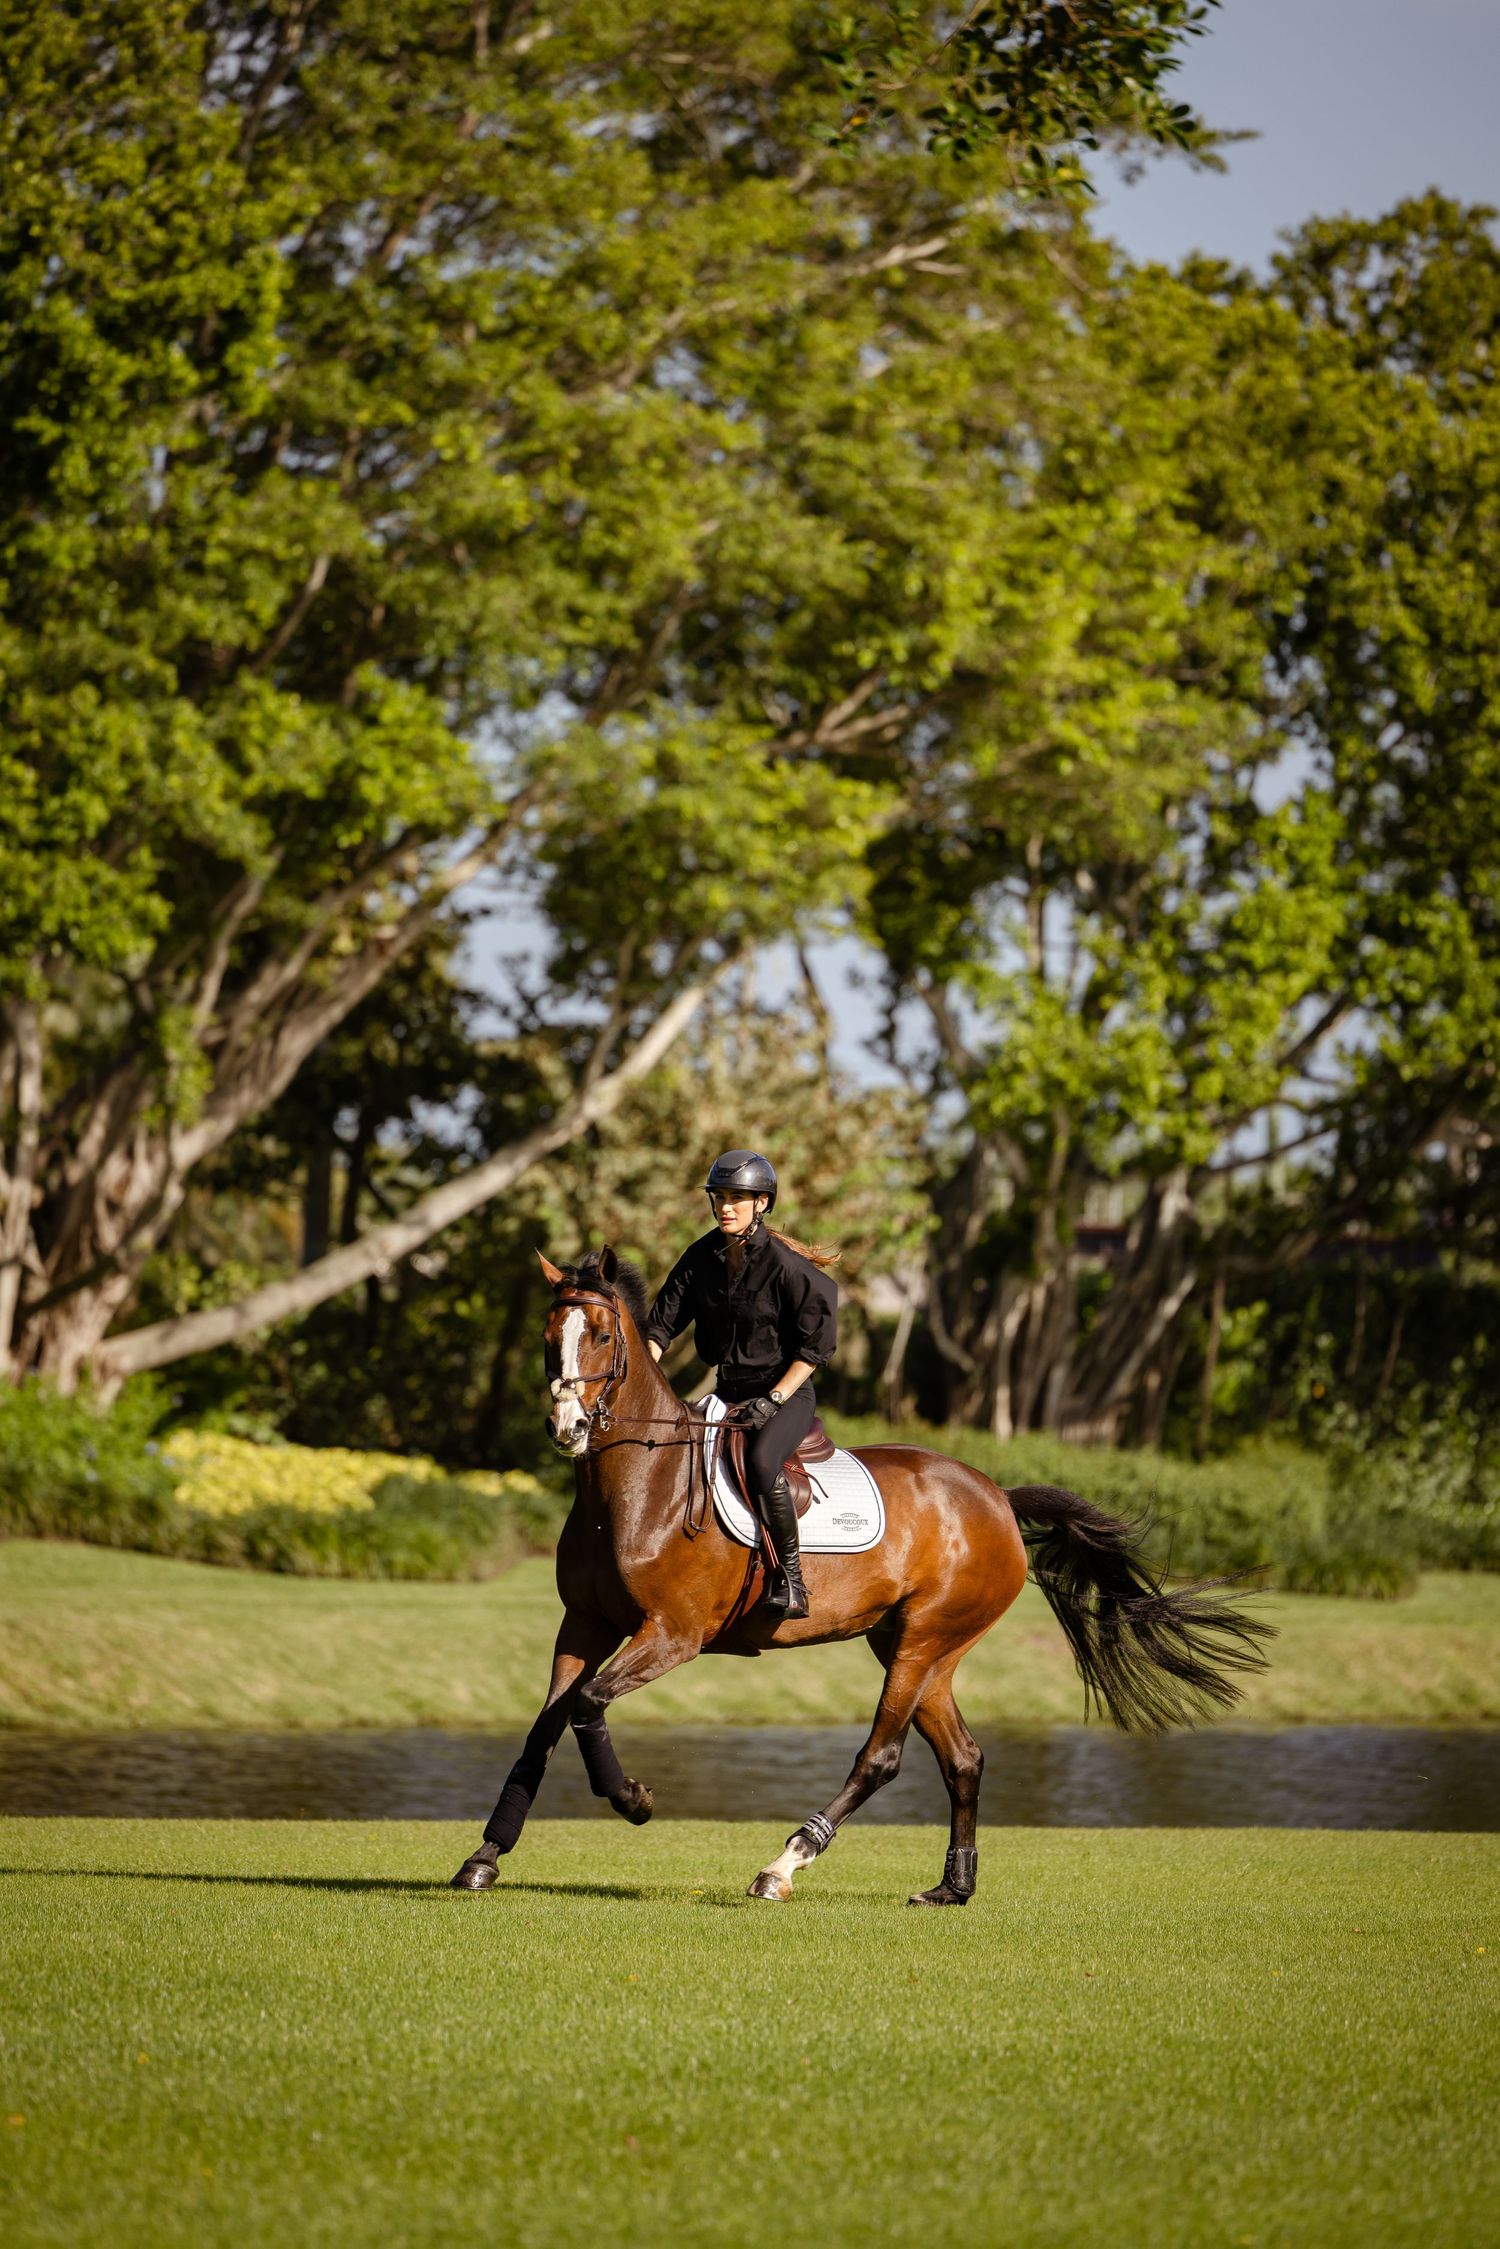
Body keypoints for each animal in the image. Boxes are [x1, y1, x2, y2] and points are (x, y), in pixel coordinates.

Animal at [450, 1247, 1271, 1904]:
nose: (566, 1428)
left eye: (599, 1333)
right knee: (963, 1758)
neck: (634, 1487)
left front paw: (632, 1799)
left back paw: (783, 1865)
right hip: (918, 1647)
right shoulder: (584, 1625)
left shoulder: (672, 1635)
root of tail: (998, 1498)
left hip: (923, 1640)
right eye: (547, 1336)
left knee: (880, 1757)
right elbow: (544, 1727)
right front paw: (484, 1856)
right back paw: (951, 1887)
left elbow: (587, 1705)